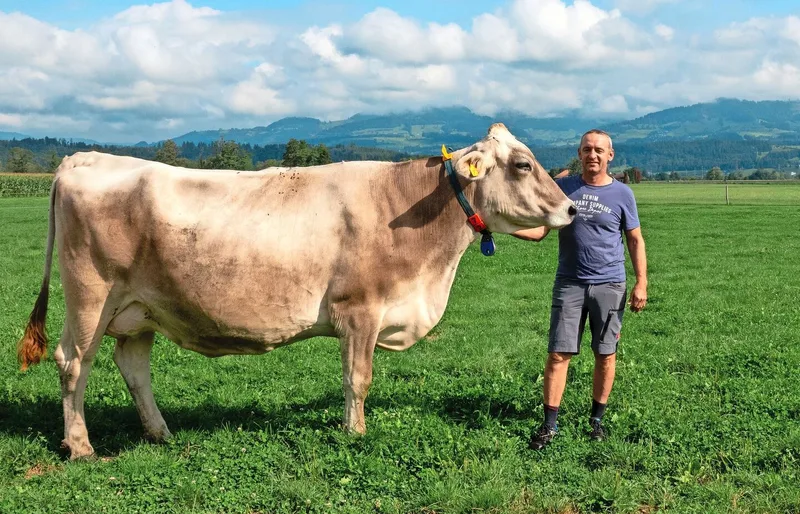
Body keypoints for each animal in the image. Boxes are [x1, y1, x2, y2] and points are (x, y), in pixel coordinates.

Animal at [17, 123, 576, 460]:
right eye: (523, 165)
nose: (571, 209)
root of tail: (84, 159)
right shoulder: (360, 311)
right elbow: (358, 379)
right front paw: (355, 433)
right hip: (91, 298)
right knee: (74, 363)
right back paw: (80, 446)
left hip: (140, 309)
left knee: (133, 366)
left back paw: (160, 432)